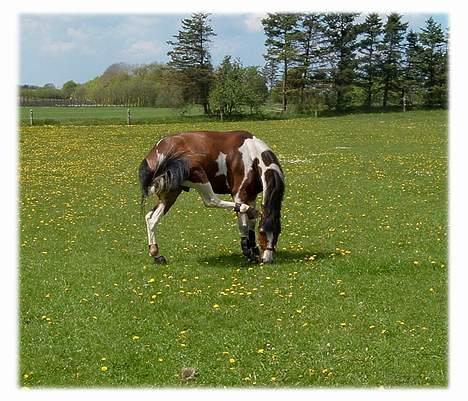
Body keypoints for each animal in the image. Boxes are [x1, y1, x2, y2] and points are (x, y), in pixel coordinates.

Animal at [138, 130, 286, 264]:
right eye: (262, 232)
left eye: (278, 232)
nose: (267, 259)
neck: (251, 154)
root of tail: (157, 151)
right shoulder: (239, 194)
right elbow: (243, 224)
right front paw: (248, 253)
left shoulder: (252, 195)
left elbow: (251, 223)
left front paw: (253, 251)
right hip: (199, 176)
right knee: (211, 200)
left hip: (170, 194)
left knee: (151, 218)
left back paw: (157, 255)